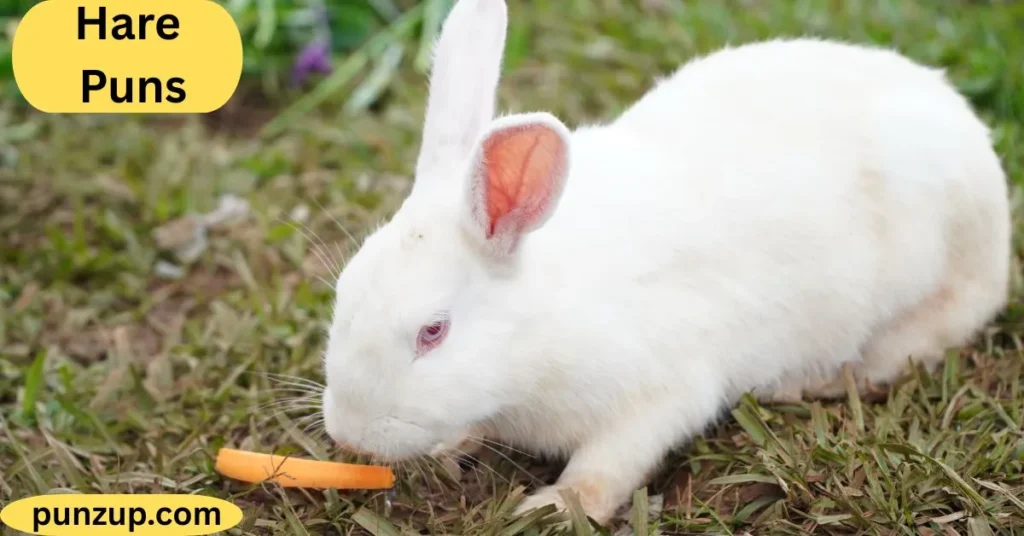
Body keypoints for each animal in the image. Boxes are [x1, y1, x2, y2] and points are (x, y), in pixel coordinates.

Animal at [320, 0, 1011, 524]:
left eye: (433, 332)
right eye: (343, 294)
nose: (349, 436)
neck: (540, 319)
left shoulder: (660, 393)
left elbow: (609, 465)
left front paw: (551, 509)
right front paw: (455, 450)